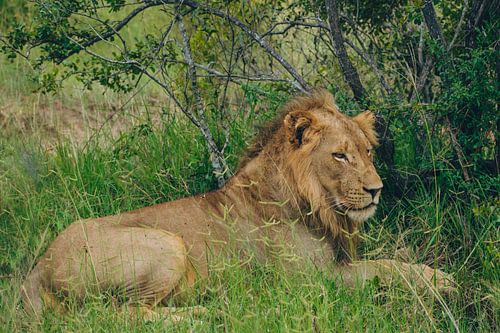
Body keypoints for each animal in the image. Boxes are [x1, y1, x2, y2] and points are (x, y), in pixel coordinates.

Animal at [21, 90, 454, 320]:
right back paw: (203, 314)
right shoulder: (312, 282)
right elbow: (383, 267)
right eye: (340, 156)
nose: (376, 190)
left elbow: (391, 259)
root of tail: (37, 270)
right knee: (122, 316)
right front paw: (441, 281)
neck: (318, 204)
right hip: (166, 244)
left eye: (367, 152)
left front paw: (434, 274)